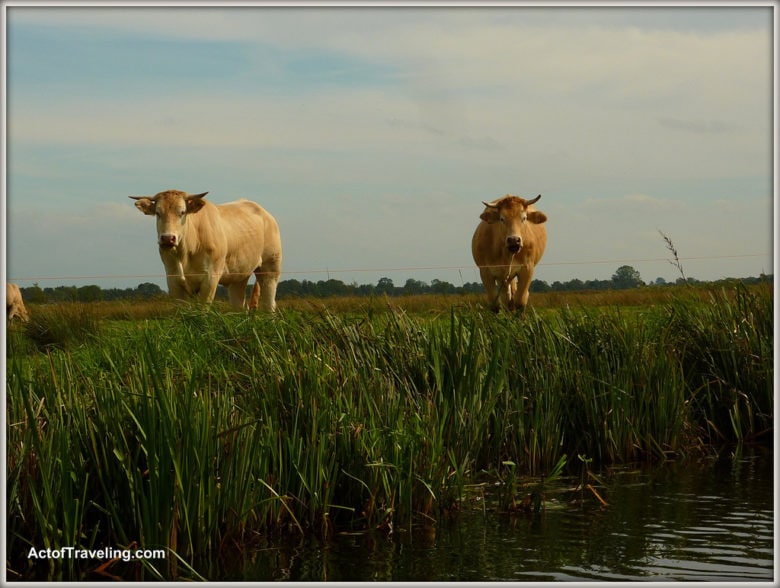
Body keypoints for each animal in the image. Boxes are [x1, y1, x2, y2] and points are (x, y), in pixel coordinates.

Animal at [129, 189, 282, 312]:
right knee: (239, 305)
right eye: (158, 213)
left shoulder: (210, 278)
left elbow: (202, 311)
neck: (185, 254)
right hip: (238, 276)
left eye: (182, 212)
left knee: (269, 303)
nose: (168, 238)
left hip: (270, 267)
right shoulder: (173, 280)